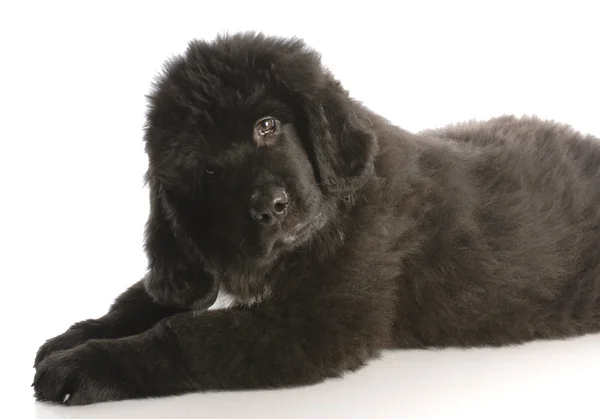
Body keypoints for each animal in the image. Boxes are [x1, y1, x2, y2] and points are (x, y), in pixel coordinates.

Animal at [31, 31, 600, 406]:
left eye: (267, 126)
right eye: (209, 170)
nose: (270, 206)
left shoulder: (318, 323)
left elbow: (186, 335)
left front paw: (84, 365)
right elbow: (139, 301)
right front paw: (73, 337)